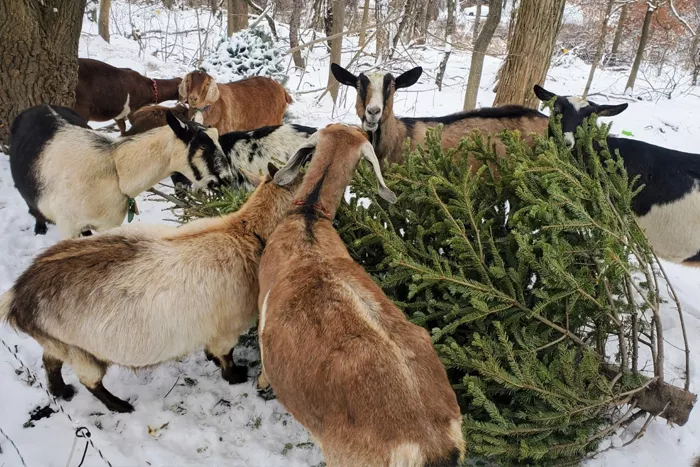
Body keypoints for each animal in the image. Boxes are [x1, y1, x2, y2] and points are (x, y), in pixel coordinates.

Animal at [0, 163, 301, 413]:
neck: (244, 232)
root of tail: (17, 296)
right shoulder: (227, 328)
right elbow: (226, 356)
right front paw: (235, 377)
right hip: (82, 352)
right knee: (90, 382)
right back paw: (119, 406)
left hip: (61, 344)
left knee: (50, 361)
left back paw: (61, 392)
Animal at [10, 104, 232, 238]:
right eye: (202, 146)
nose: (228, 180)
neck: (114, 170)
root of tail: (38, 107)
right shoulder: (67, 227)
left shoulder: (109, 225)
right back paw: (40, 228)